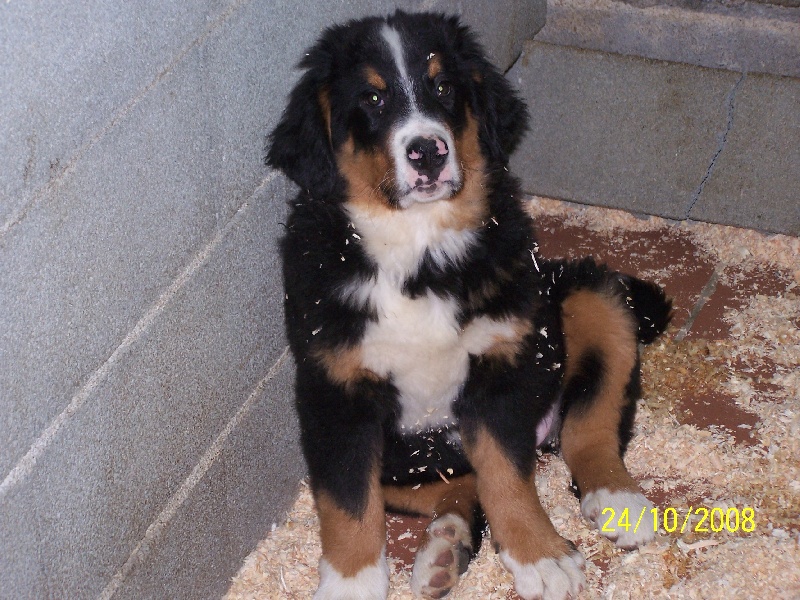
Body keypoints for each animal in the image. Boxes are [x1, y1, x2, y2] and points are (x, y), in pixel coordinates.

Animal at [266, 11, 671, 600]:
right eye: (372, 99)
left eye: (443, 88)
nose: (427, 151)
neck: (420, 252)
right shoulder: (338, 391)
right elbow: (348, 502)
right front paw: (351, 581)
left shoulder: (498, 364)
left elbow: (507, 475)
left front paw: (540, 556)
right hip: (406, 453)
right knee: (453, 486)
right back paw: (446, 547)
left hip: (589, 297)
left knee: (590, 426)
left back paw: (618, 501)